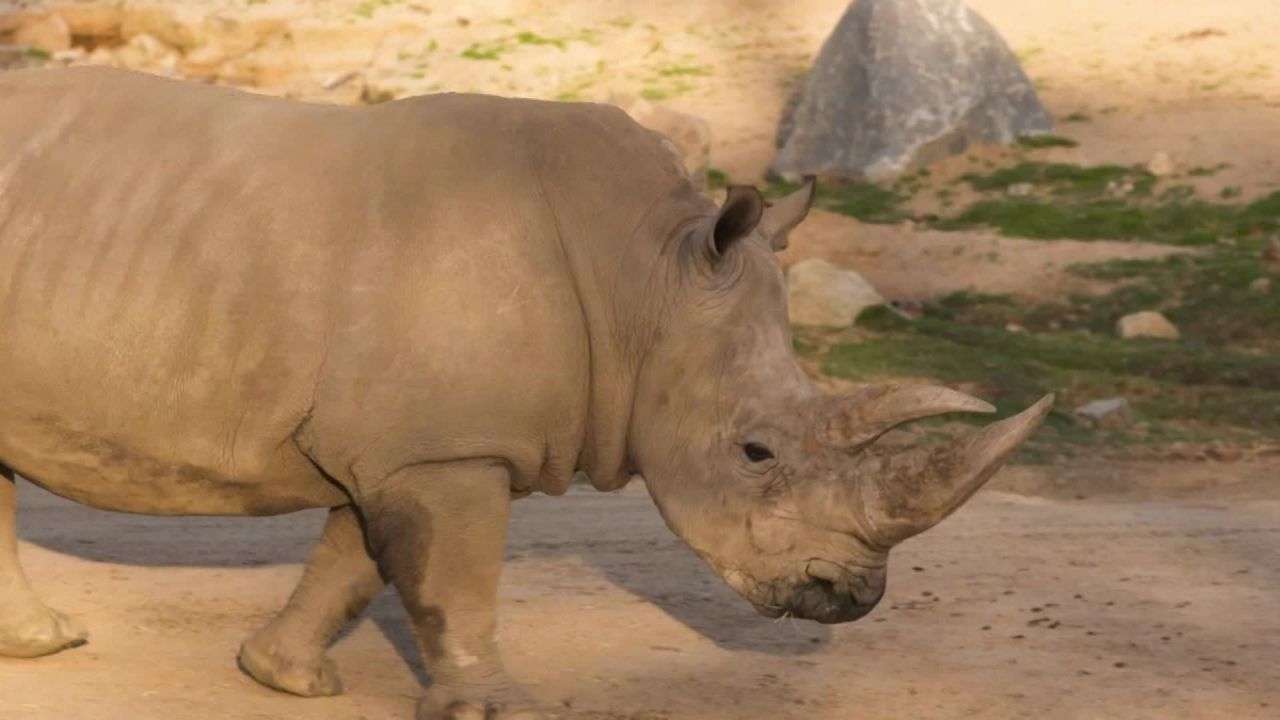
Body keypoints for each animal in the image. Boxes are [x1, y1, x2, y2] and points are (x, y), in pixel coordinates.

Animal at [0, 65, 1049, 712]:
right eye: (755, 451)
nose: (848, 599)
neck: (645, 280)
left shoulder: (410, 439)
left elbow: (355, 560)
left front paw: (282, 679)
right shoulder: (446, 449)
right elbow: (455, 580)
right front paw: (499, 712)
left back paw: (45, 645)